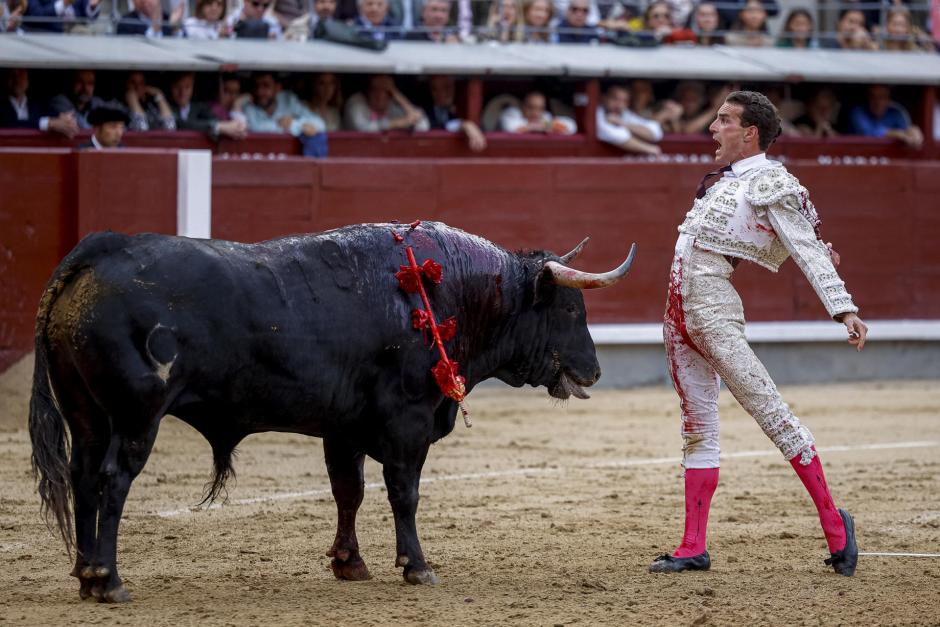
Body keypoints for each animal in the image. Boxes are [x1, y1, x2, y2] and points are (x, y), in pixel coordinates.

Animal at [29, 222, 636, 604]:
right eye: (568, 308)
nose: (594, 371)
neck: (443, 295)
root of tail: (100, 251)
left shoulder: (343, 428)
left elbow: (350, 491)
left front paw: (350, 563)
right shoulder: (408, 423)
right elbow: (404, 494)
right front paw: (417, 567)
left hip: (86, 414)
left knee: (84, 478)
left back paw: (85, 574)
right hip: (137, 416)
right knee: (112, 480)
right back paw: (110, 580)